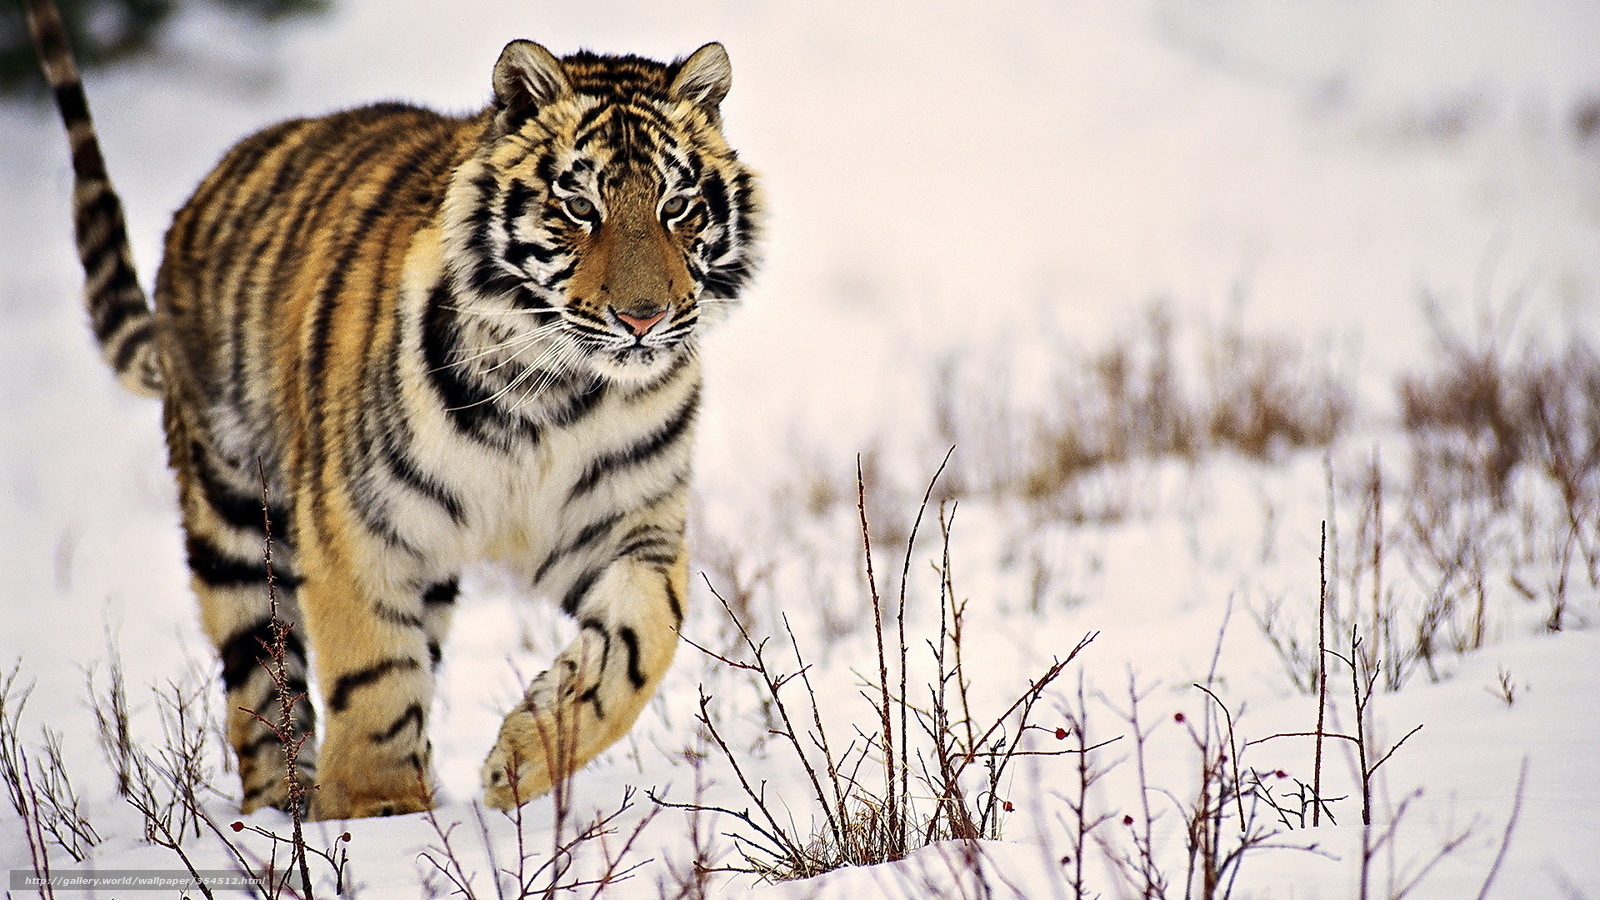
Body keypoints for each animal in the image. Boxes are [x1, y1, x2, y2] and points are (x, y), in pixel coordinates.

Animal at [23, 0, 762, 820]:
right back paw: (281, 814)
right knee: (262, 688)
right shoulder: (358, 524)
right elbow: (374, 673)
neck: (555, 392)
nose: (643, 317)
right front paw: (381, 813)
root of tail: (205, 191)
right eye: (579, 207)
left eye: (677, 207)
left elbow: (641, 642)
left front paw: (522, 759)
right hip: (236, 521)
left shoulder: (628, 525)